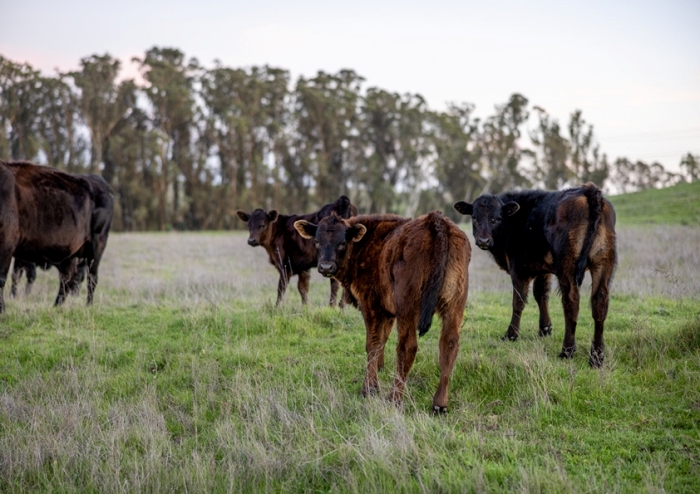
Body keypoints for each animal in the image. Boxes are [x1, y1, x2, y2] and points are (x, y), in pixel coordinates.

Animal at [0, 161, 114, 312]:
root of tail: (100, 183)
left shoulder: (7, 244)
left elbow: (2, 278)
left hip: (96, 246)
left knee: (91, 278)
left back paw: (88, 306)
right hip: (71, 253)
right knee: (67, 279)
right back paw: (56, 307)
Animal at [296, 210, 470, 412]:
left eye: (342, 242)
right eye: (317, 241)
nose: (326, 267)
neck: (364, 243)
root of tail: (436, 221)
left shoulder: (371, 305)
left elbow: (372, 344)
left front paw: (369, 388)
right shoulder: (388, 312)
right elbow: (382, 340)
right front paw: (379, 368)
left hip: (407, 309)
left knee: (407, 347)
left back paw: (394, 398)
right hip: (454, 307)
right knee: (449, 345)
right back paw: (439, 404)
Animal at [452, 181, 616, 366]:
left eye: (497, 218)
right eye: (474, 217)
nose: (483, 240)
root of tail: (588, 190)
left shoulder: (519, 268)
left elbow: (518, 302)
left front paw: (511, 335)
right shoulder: (542, 268)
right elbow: (541, 294)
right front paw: (545, 329)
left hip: (567, 266)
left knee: (571, 301)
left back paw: (567, 351)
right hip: (603, 263)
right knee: (599, 303)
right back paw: (596, 357)